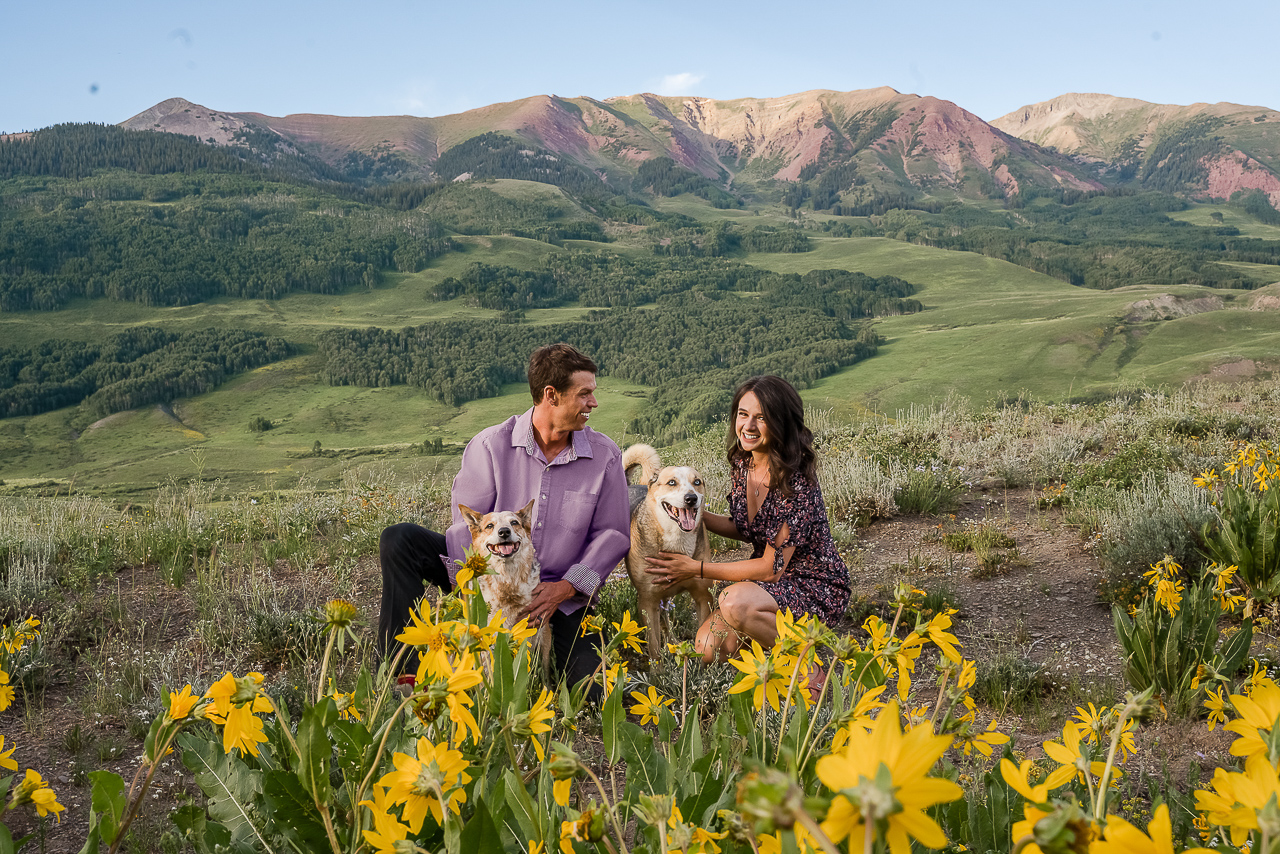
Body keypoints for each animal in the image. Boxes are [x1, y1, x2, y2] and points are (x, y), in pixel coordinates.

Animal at [619, 440, 711, 655]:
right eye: (671, 482)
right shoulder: (647, 601)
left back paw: (674, 642)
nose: (691, 498)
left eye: (697, 482)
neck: (676, 541)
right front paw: (658, 665)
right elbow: (654, 649)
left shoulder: (703, 595)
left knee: (666, 618)